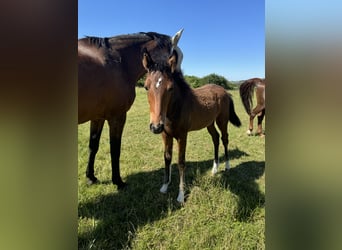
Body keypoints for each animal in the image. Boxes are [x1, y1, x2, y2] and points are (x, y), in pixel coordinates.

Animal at [78, 29, 183, 188]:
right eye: (179, 58)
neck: (117, 62)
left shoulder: (98, 117)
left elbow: (93, 146)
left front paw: (90, 177)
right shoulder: (117, 117)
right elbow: (115, 149)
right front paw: (118, 181)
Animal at [143, 50, 242, 203]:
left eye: (170, 88)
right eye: (146, 87)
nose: (156, 127)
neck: (175, 109)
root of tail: (225, 91)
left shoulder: (182, 136)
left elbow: (181, 162)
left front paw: (181, 195)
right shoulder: (166, 135)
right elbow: (167, 158)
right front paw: (165, 186)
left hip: (222, 120)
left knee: (224, 139)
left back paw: (227, 166)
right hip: (209, 123)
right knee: (215, 138)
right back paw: (215, 169)